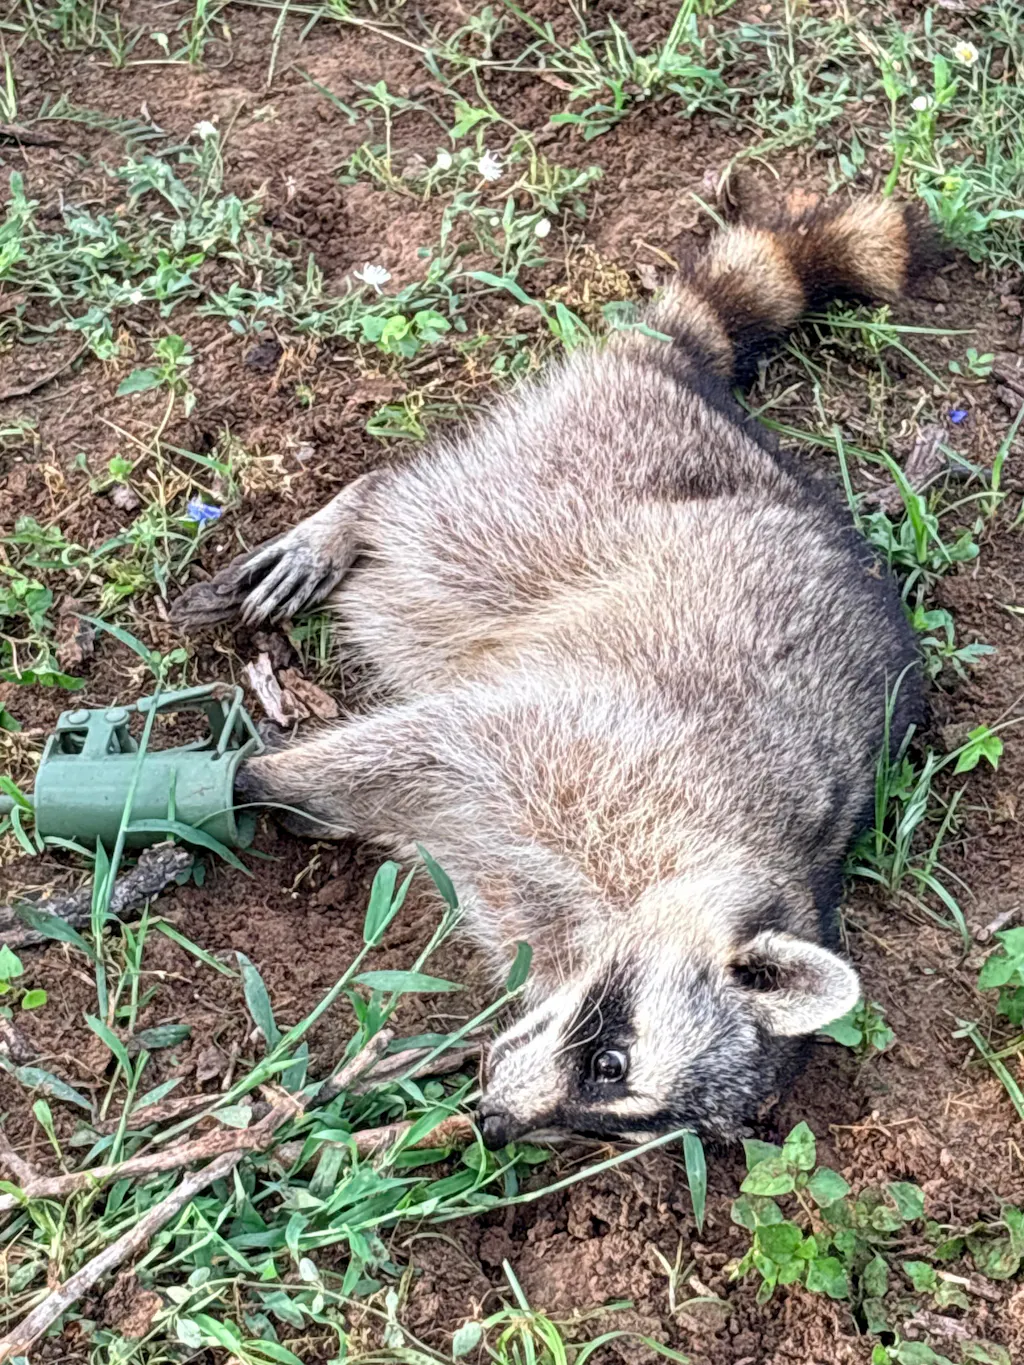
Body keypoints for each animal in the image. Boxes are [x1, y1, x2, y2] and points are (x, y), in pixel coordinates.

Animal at [173, 194, 935, 1148]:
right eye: (609, 1062)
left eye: (609, 1125)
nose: (496, 1122)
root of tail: (690, 391)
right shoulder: (601, 750)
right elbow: (425, 735)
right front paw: (248, 777)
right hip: (581, 490)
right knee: (439, 532)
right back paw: (359, 511)